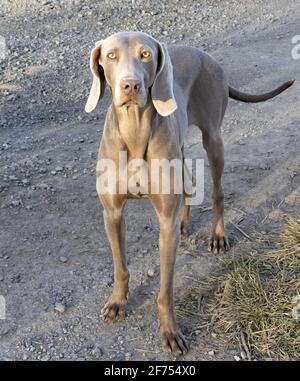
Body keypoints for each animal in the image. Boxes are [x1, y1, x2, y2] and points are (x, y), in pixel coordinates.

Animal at [84, 31, 292, 354]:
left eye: (145, 54)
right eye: (111, 56)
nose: (130, 86)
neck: (134, 131)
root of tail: (207, 56)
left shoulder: (164, 224)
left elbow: (166, 289)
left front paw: (169, 331)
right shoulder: (112, 213)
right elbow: (120, 267)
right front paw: (117, 303)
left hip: (213, 139)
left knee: (217, 192)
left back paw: (217, 236)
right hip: (180, 146)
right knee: (189, 182)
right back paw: (185, 223)